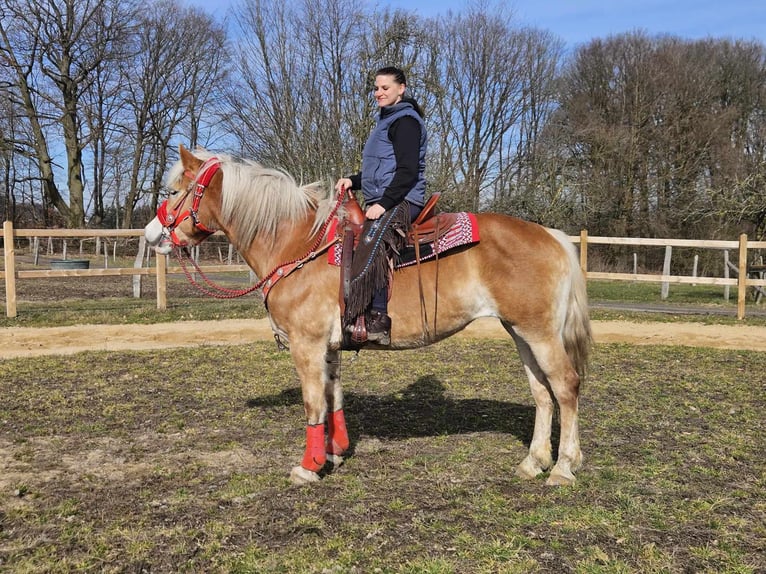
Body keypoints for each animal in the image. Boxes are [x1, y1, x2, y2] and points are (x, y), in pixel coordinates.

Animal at [147, 146, 596, 488]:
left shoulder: (306, 345)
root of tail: (553, 236)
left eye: (175, 190)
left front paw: (309, 468)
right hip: (521, 331)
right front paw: (335, 453)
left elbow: (313, 405)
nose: (152, 235)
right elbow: (334, 399)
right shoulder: (330, 347)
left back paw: (563, 467)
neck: (297, 243)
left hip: (539, 333)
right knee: (542, 393)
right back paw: (534, 462)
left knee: (566, 386)